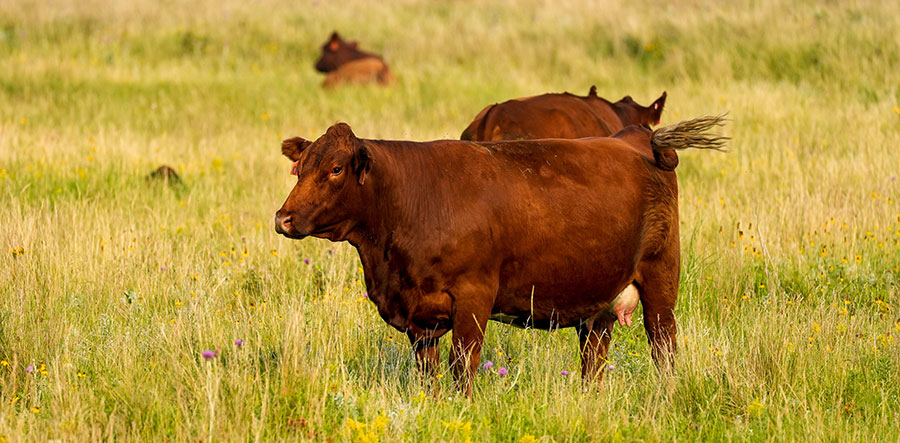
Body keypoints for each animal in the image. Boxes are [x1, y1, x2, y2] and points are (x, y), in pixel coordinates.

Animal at [274, 116, 727, 394]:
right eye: (300, 167)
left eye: (335, 169)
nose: (283, 218)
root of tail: (633, 136)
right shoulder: (419, 316)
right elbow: (428, 372)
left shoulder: (473, 296)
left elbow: (463, 364)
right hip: (599, 296)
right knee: (594, 356)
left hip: (660, 279)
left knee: (662, 344)